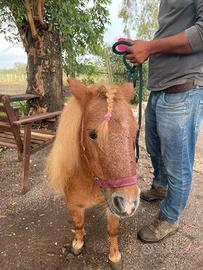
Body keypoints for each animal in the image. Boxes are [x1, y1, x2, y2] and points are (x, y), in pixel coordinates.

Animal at [46, 77, 140, 268]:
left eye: (136, 131)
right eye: (92, 135)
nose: (128, 204)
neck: (91, 180)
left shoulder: (112, 205)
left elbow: (113, 231)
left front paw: (114, 256)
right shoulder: (74, 205)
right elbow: (78, 224)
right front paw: (78, 243)